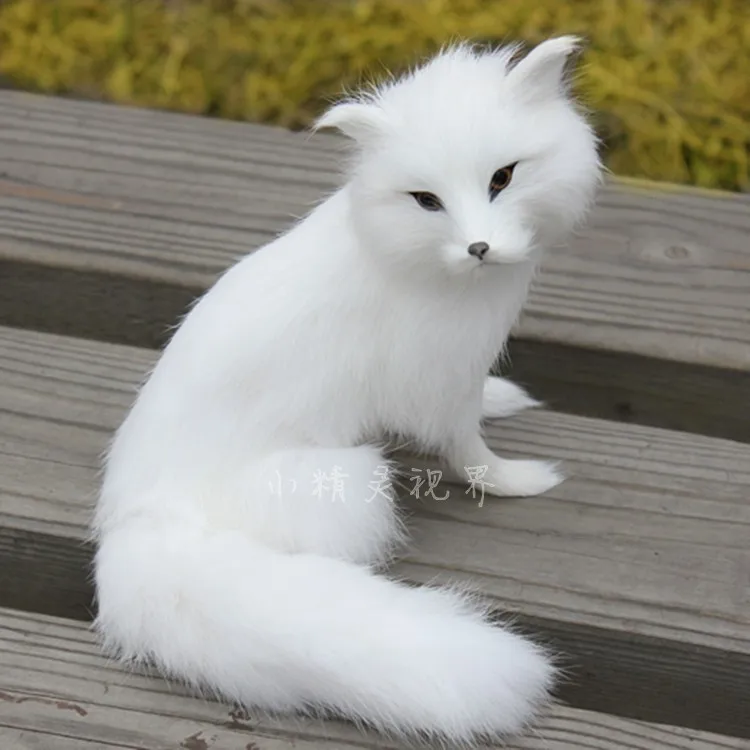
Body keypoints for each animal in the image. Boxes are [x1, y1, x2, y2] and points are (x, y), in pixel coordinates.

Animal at [92, 36, 602, 745]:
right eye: (426, 200)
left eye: (503, 177)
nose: (479, 247)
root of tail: (135, 525)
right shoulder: (436, 382)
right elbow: (468, 447)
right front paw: (516, 480)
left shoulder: (463, 371)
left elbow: (480, 404)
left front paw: (503, 400)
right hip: (352, 482)